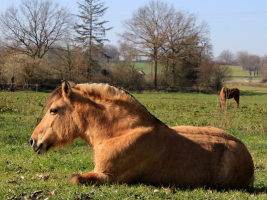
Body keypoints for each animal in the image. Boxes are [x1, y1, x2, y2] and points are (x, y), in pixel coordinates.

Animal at [29, 80, 255, 188]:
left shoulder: (108, 177)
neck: (121, 133)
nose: (33, 141)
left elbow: (74, 179)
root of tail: (246, 155)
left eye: (53, 110)